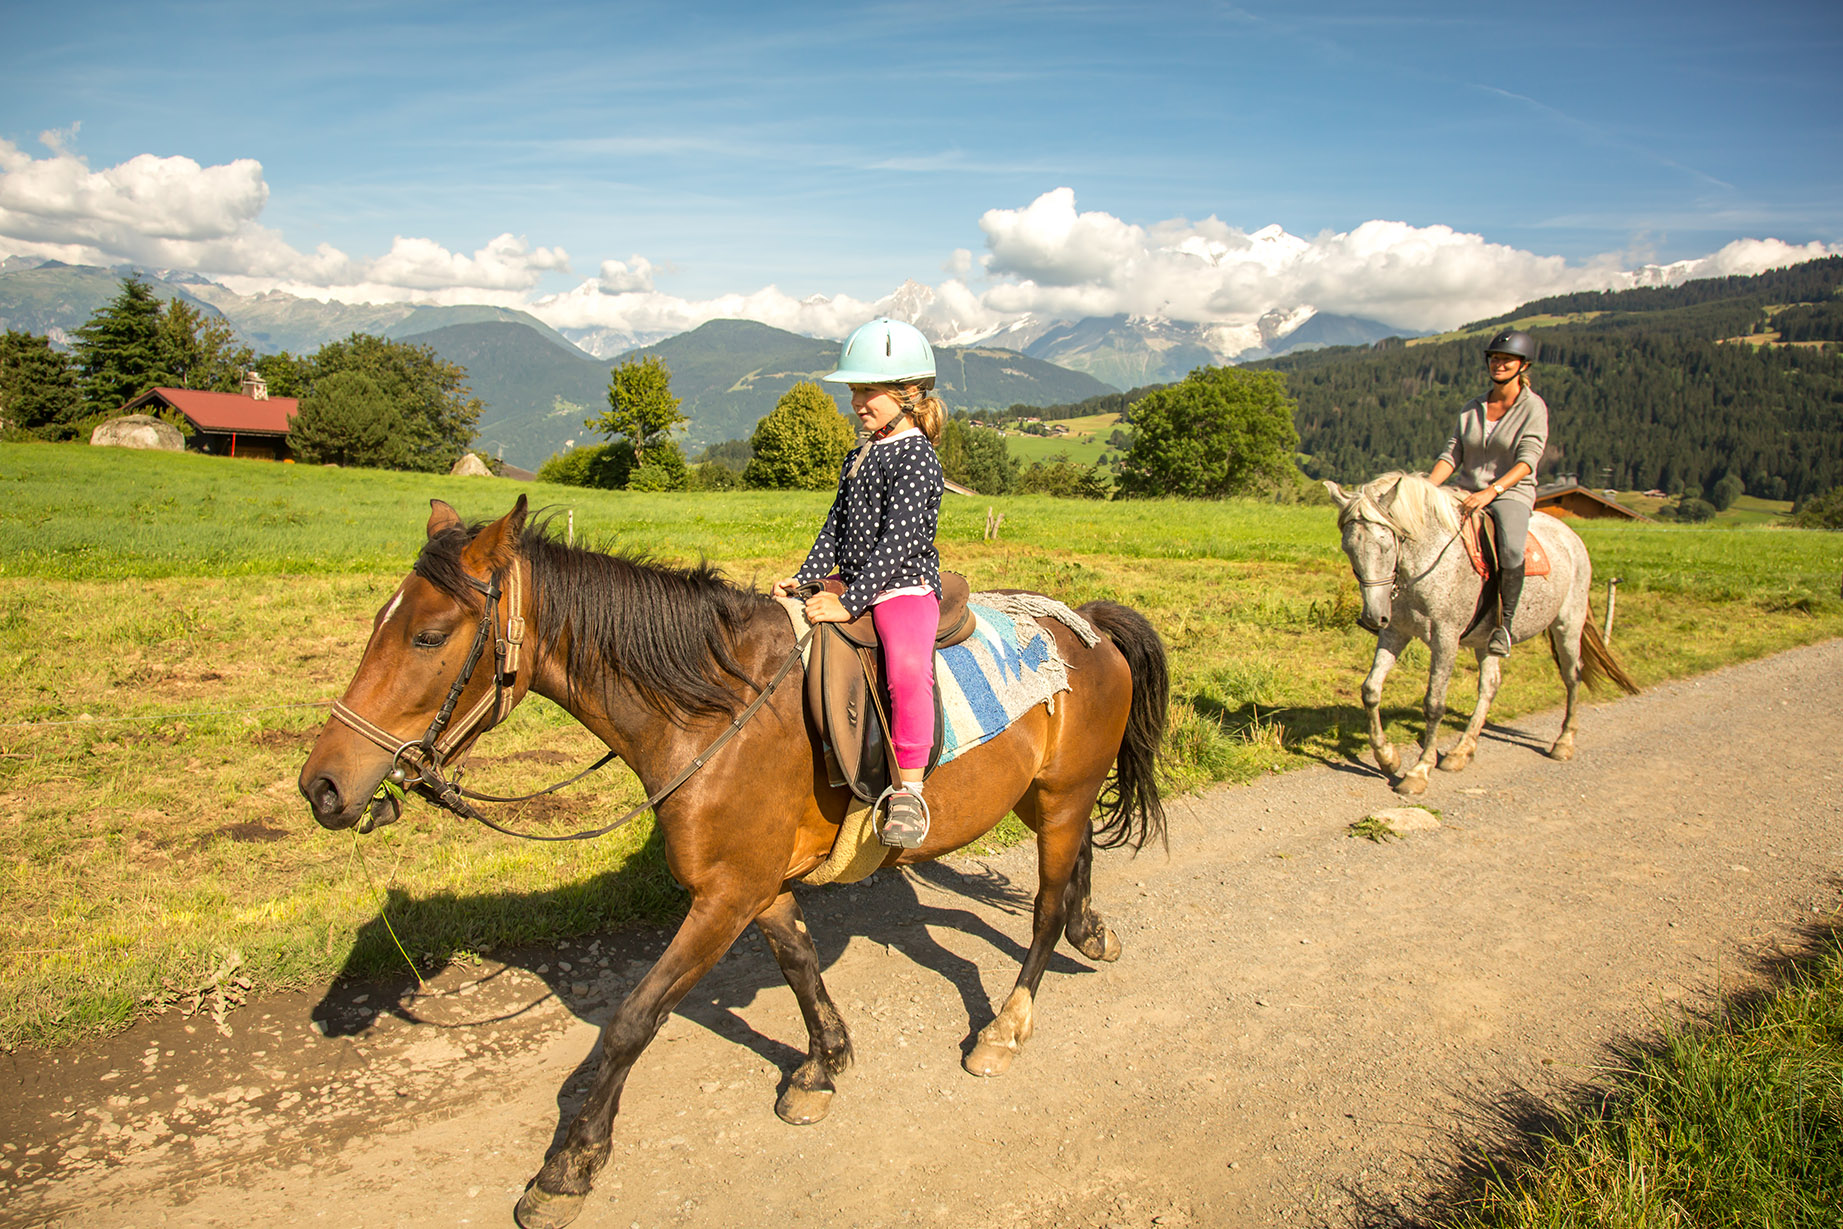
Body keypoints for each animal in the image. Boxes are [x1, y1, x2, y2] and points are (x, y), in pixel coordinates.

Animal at [300, 493, 1164, 1223]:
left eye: (429, 635)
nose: (322, 786)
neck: (713, 708)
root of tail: (1083, 621)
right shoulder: (756, 884)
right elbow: (799, 963)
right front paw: (822, 1064)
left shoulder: (724, 895)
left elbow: (632, 1019)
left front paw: (570, 1165)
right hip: (1045, 795)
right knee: (1074, 866)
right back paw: (1092, 931)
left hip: (1061, 796)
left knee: (1043, 908)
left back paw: (1006, 1026)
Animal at [1326, 471, 1643, 799]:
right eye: (1348, 549)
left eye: (1385, 544)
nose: (1373, 617)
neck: (1426, 562)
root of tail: (1571, 537)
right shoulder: (1396, 632)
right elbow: (1371, 689)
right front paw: (1387, 756)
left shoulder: (1446, 638)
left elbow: (1434, 704)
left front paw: (1419, 770)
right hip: (1487, 640)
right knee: (1490, 685)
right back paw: (1461, 752)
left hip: (1568, 624)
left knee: (1572, 676)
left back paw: (1564, 742)